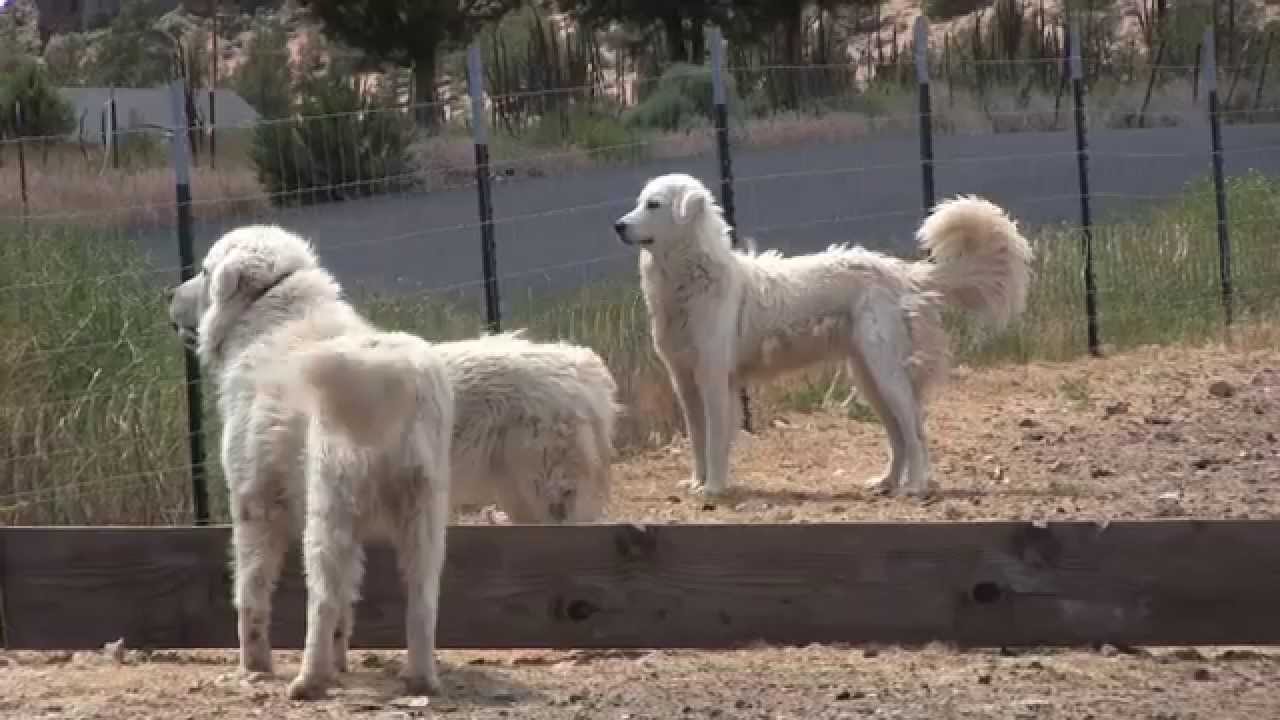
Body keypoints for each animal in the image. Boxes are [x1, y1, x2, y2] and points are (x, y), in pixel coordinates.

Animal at [168, 222, 619, 696]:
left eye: (203, 270)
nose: (167, 295)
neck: (268, 317)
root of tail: (589, 371)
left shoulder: (253, 503)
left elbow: (252, 593)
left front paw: (255, 666)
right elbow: (348, 602)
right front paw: (341, 662)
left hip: (344, 509)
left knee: (323, 597)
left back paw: (309, 681)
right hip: (439, 517)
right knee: (422, 601)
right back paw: (418, 677)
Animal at [614, 171, 1034, 497]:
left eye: (653, 205)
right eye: (638, 202)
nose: (617, 226)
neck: (691, 278)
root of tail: (903, 273)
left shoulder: (715, 380)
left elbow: (716, 441)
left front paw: (714, 488)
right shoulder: (685, 381)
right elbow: (698, 441)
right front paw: (697, 483)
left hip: (886, 373)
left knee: (915, 433)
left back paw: (916, 487)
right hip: (868, 377)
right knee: (899, 435)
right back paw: (886, 483)